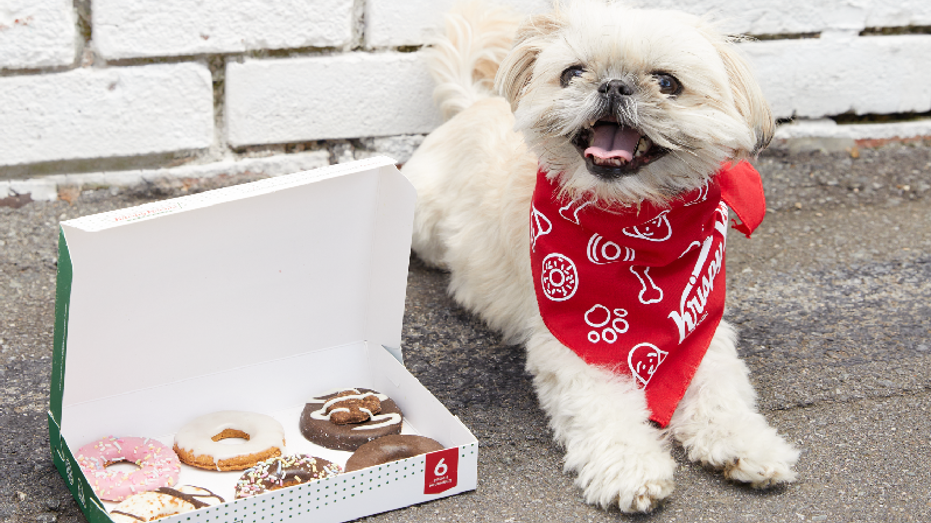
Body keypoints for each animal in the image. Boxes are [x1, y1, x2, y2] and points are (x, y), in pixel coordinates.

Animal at [404, 0, 804, 512]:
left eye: (668, 83)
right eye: (573, 73)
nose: (612, 85)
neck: (632, 227)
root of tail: (472, 105)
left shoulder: (700, 327)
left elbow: (721, 392)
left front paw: (746, 445)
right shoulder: (576, 343)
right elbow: (605, 410)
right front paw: (631, 470)